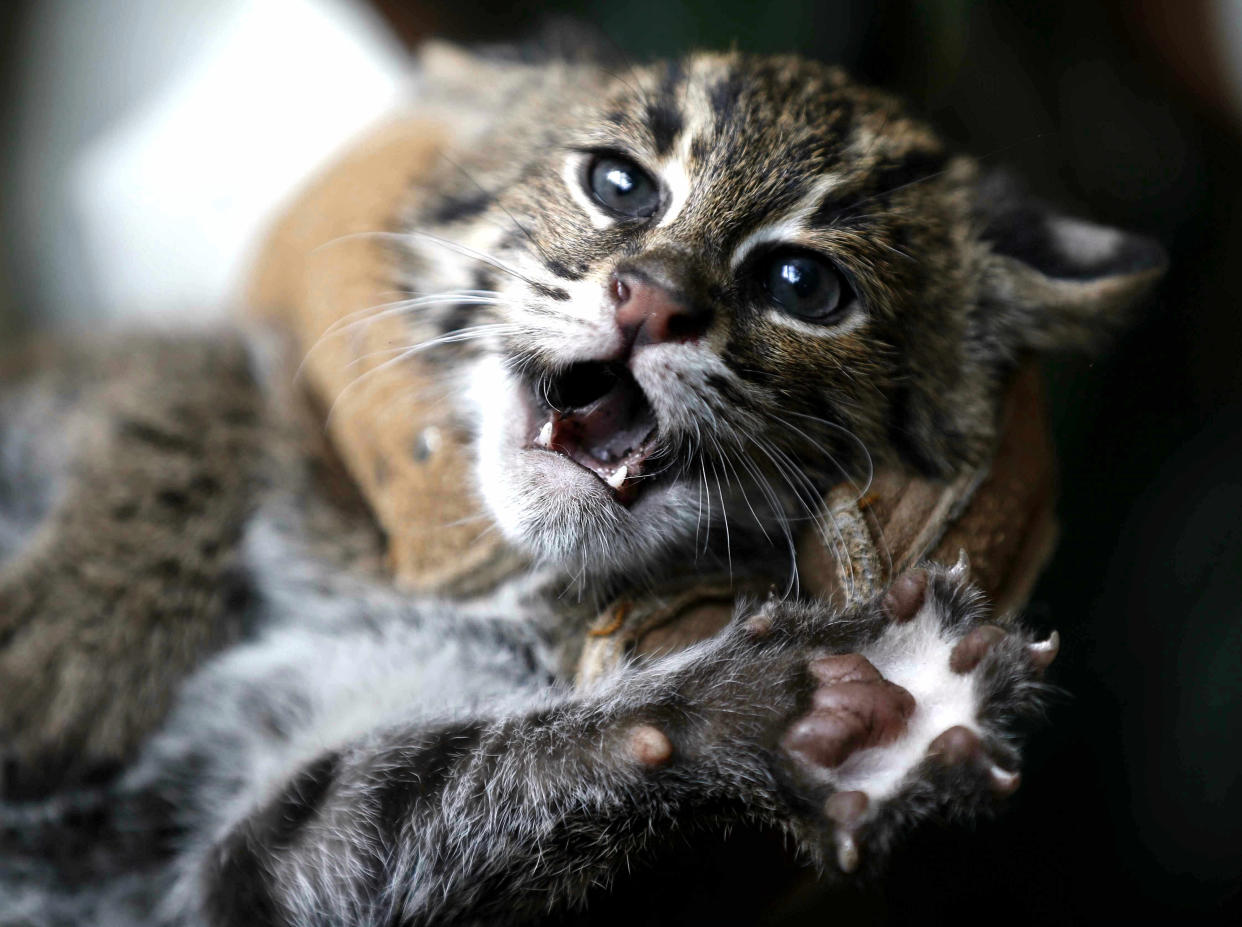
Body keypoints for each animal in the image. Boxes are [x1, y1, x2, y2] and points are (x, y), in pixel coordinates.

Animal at [0, 45, 1162, 924]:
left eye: (802, 284)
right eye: (618, 185)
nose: (648, 298)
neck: (522, 584)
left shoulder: (232, 864)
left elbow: (426, 790)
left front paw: (818, 713)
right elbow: (201, 381)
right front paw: (62, 653)